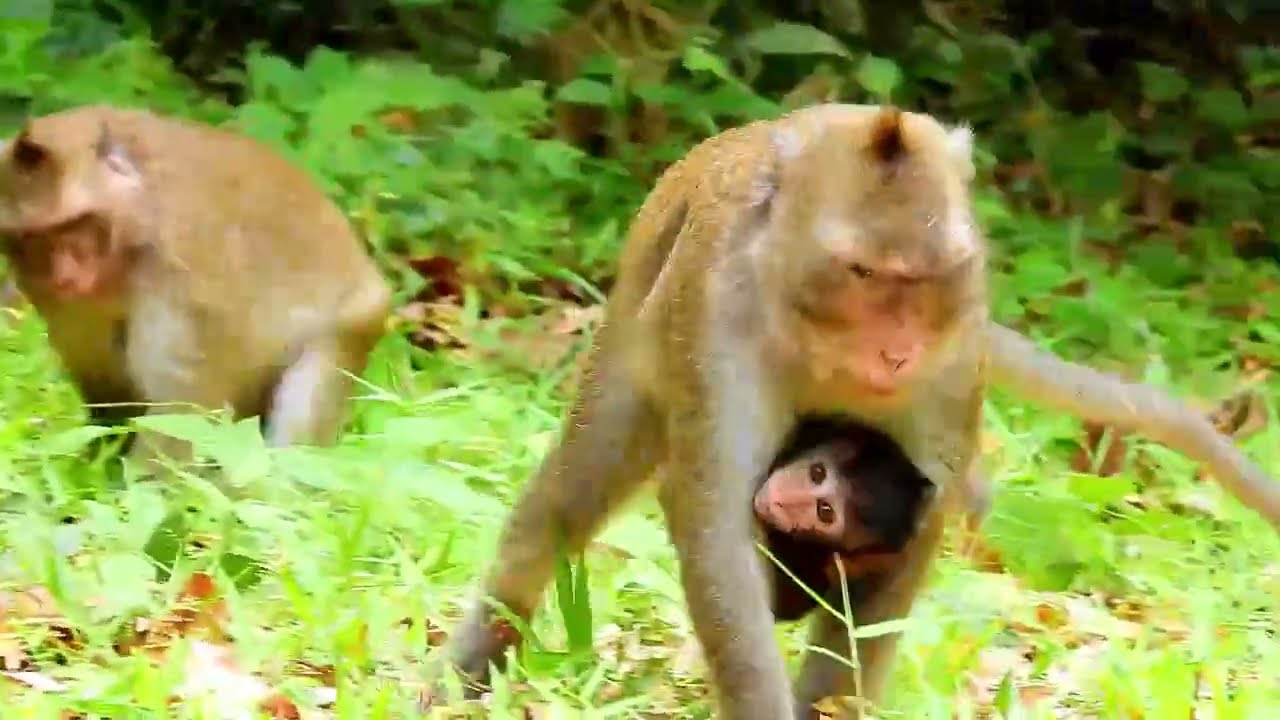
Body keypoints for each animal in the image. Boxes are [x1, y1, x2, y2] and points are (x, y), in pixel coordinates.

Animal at [0, 104, 392, 471]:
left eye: (75, 225)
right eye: (35, 239)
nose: (65, 276)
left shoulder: (187, 263)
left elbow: (183, 416)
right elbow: (110, 391)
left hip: (355, 324)